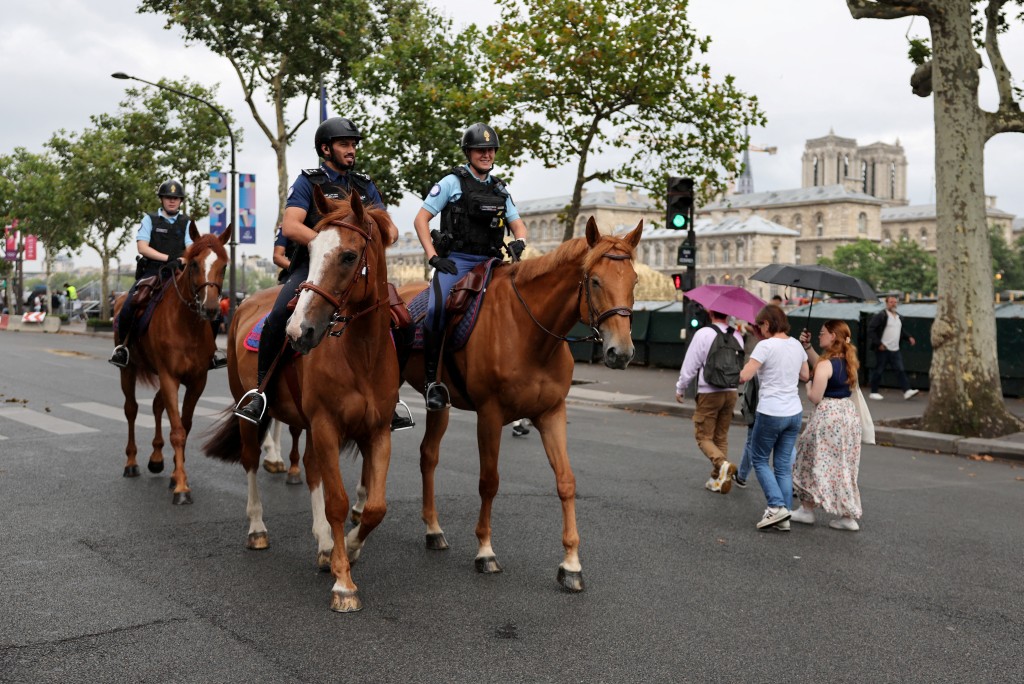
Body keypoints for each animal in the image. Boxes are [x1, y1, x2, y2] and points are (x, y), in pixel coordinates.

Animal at [113, 222, 231, 505]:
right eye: (194, 264)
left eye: (224, 266)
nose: (211, 309)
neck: (187, 325)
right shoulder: (169, 377)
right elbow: (177, 430)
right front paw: (181, 488)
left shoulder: (197, 381)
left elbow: (184, 426)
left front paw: (177, 476)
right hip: (128, 371)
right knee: (131, 409)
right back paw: (131, 463)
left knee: (157, 406)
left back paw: (156, 459)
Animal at [204, 188, 399, 614]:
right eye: (309, 251)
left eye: (349, 255)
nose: (298, 331)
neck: (361, 354)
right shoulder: (326, 424)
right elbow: (338, 501)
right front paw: (344, 583)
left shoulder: (377, 430)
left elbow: (375, 507)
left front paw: (349, 549)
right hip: (250, 412)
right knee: (250, 461)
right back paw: (258, 528)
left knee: (310, 471)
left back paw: (325, 544)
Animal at [397, 216, 643, 589]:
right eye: (596, 281)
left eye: (634, 281)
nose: (622, 352)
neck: (532, 333)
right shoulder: (489, 415)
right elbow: (489, 481)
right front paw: (485, 550)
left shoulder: (552, 413)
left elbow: (566, 481)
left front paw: (571, 563)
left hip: (440, 405)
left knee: (428, 456)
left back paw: (433, 529)